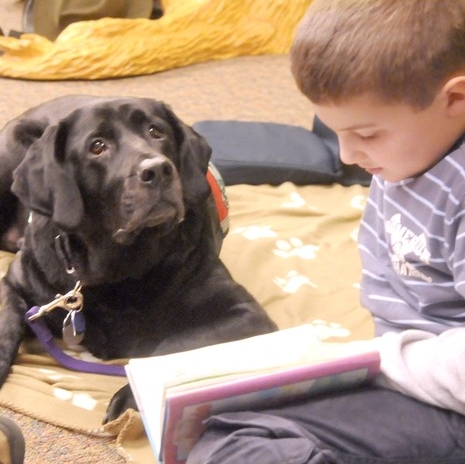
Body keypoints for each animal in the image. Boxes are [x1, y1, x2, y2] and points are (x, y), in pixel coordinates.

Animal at [0, 96, 276, 422]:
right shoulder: (15, 282)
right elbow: (6, 324)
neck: (121, 271)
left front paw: (132, 395)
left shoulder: (246, 313)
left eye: (156, 131)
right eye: (97, 146)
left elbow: (174, 345)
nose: (157, 170)